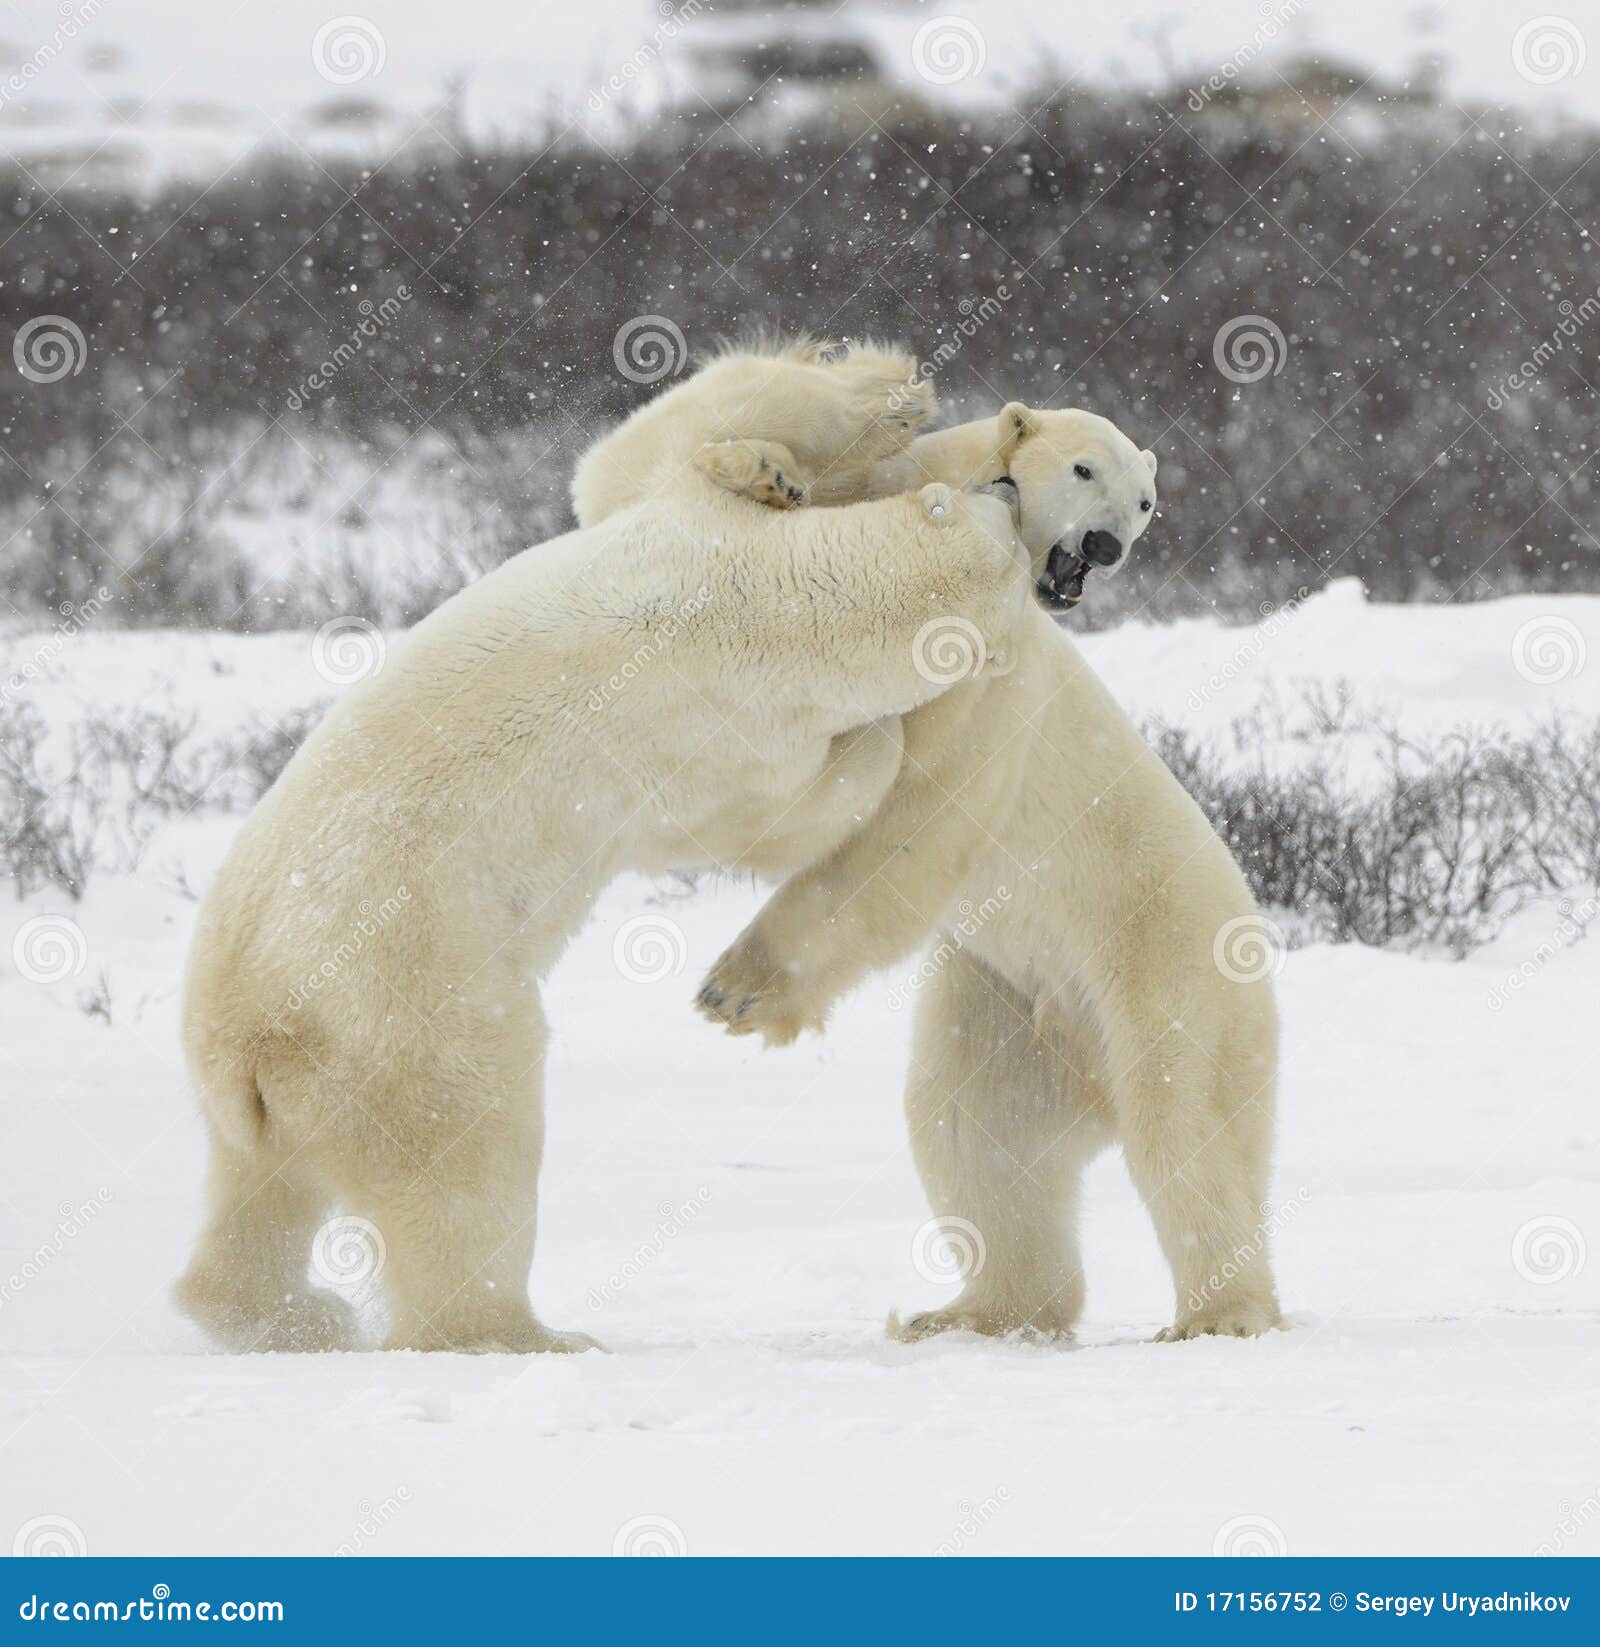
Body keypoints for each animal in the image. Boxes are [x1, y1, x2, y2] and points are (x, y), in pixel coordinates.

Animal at [175, 342, 1034, 1354]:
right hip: (411, 1009)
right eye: (1001, 541)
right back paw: (520, 1332)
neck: (759, 605)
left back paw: (276, 1312)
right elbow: (638, 459)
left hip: (255, 1070)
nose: (1013, 490)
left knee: (261, 1188)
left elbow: (628, 467)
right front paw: (864, 401)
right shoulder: (720, 686)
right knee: (467, 1158)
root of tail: (250, 1036)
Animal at [685, 390, 1284, 1342]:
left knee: (1184, 1118)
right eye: (1084, 469)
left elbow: (919, 813)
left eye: (1146, 501)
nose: (1107, 545)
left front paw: (739, 991)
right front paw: (757, 469)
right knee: (972, 1124)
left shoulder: (999, 686)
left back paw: (1219, 1314)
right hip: (1002, 1003)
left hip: (1165, 955)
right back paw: (976, 1311)